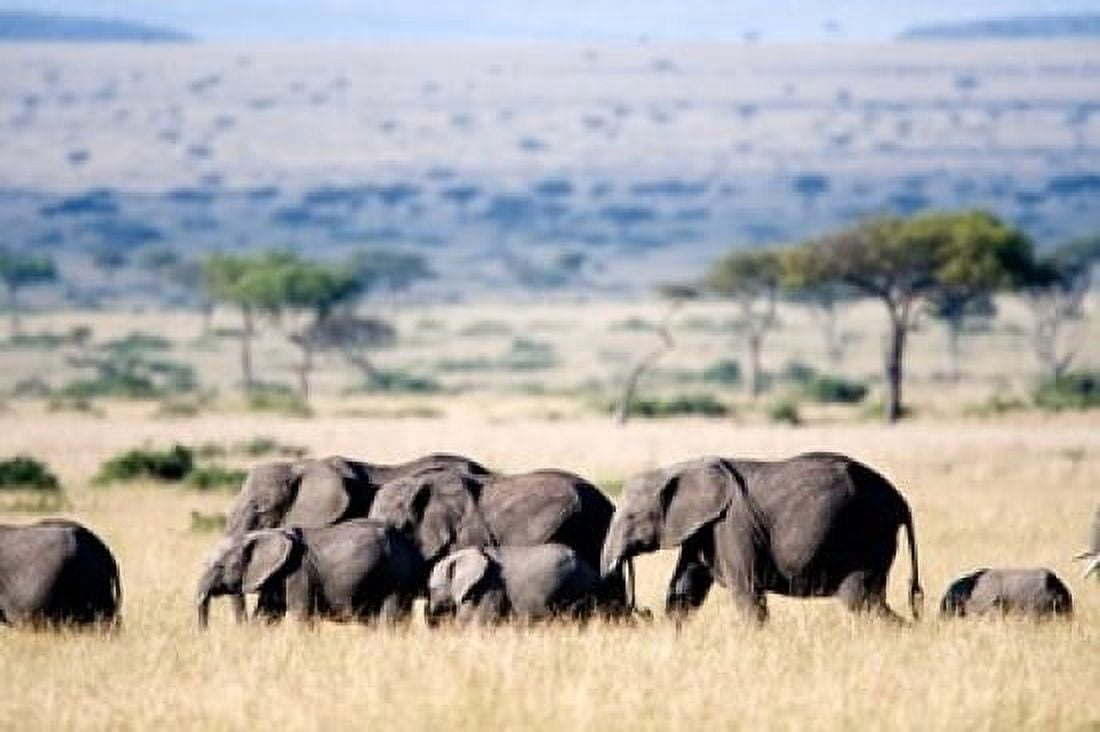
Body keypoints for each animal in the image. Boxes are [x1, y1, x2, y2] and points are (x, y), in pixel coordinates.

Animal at [195, 519, 425, 628]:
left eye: (219, 567)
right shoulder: (276, 576)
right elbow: (266, 615)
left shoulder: (299, 573)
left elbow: (301, 615)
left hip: (396, 575)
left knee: (390, 618)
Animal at [600, 453, 923, 624]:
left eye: (631, 517)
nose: (641, 611)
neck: (682, 467)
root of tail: (900, 500)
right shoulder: (703, 529)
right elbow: (685, 588)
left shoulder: (733, 525)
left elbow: (747, 593)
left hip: (867, 535)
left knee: (862, 602)